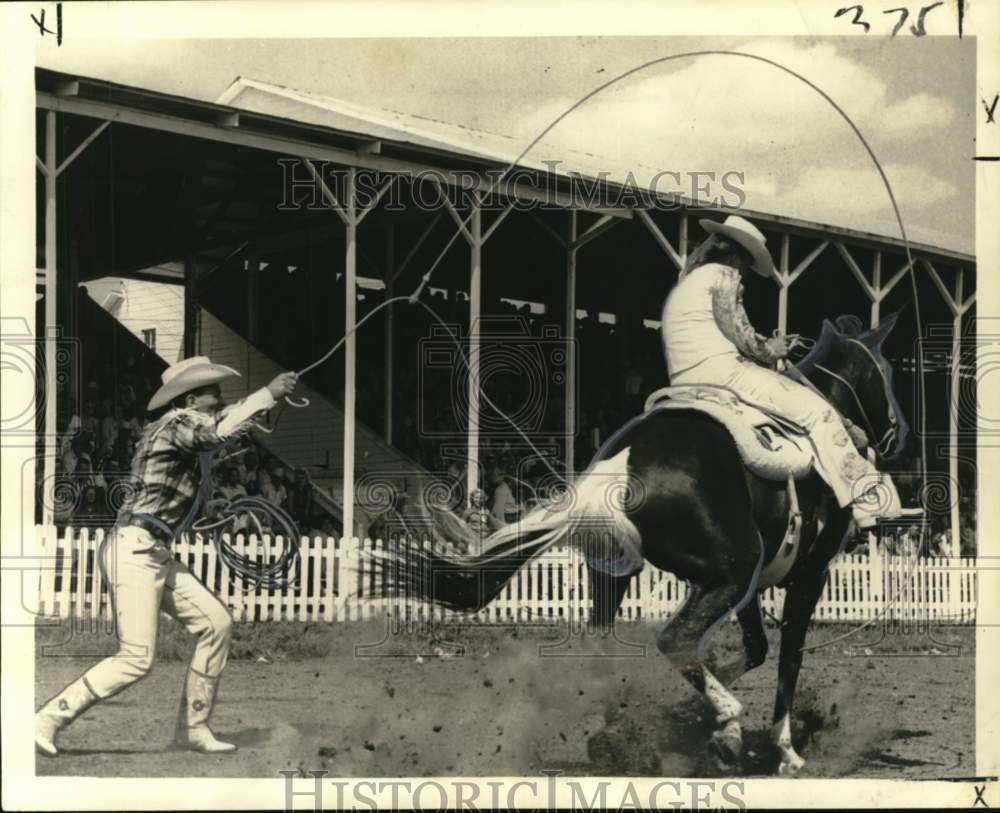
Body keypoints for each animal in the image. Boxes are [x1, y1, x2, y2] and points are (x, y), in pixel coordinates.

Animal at [380, 310, 908, 772]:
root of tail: (616, 469)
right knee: (675, 639)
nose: (898, 432)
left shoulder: (757, 585)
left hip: (628, 574)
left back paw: (624, 731)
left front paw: (691, 714)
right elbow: (787, 660)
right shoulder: (806, 576)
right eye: (885, 371)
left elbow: (756, 648)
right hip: (731, 569)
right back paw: (728, 726)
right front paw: (782, 749)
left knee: (604, 647)